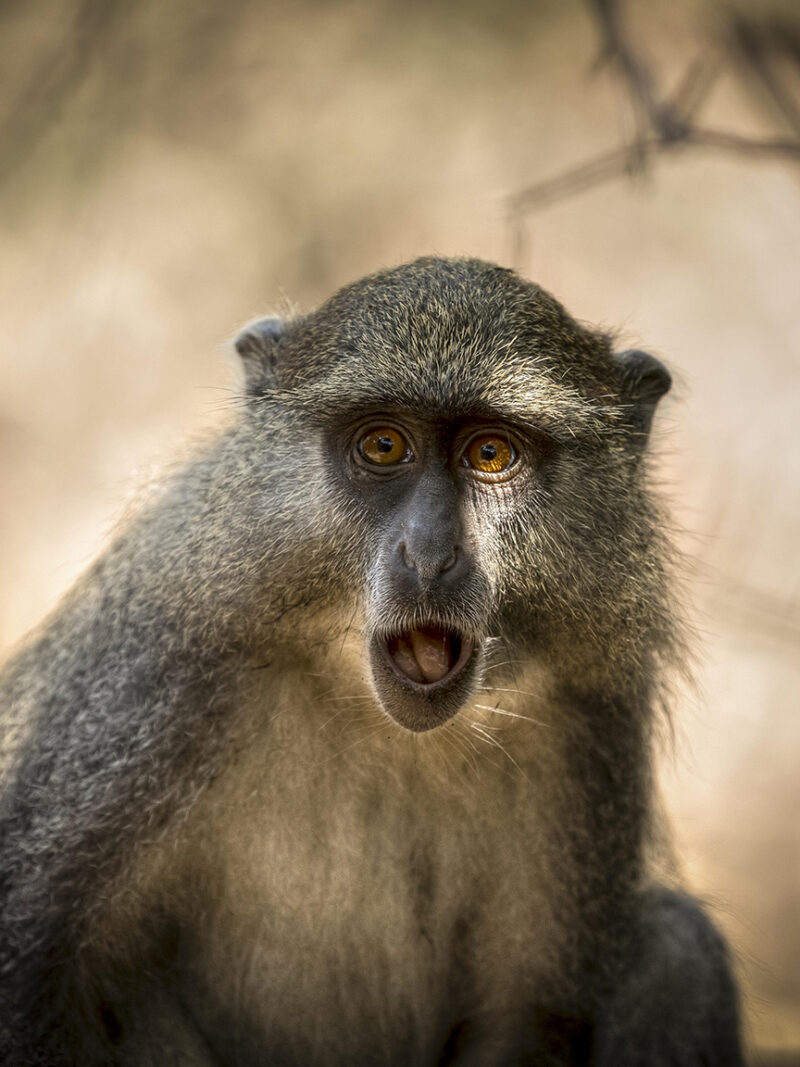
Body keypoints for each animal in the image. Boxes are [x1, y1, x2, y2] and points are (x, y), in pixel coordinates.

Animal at [0, 256, 744, 1066]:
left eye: (491, 454)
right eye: (384, 447)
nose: (430, 553)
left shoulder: (589, 709)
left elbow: (527, 1015)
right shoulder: (161, 668)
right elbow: (36, 964)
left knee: (679, 951)